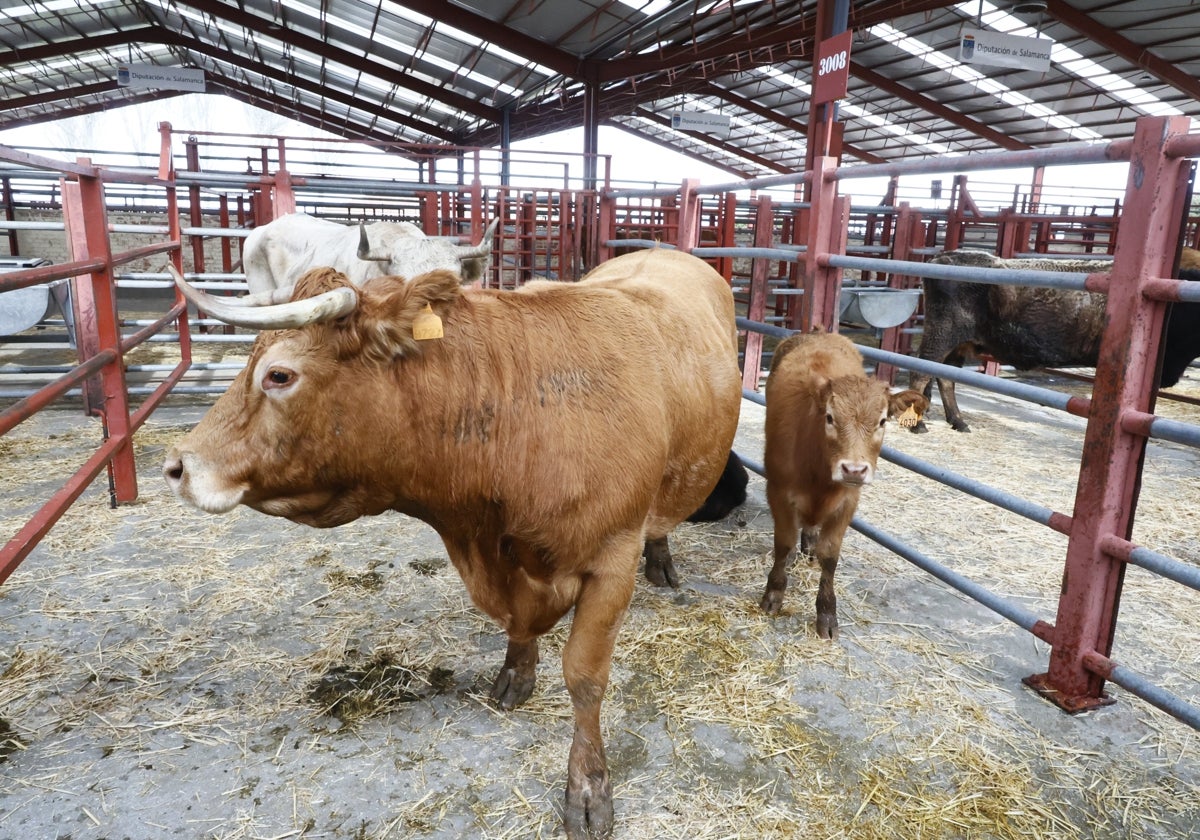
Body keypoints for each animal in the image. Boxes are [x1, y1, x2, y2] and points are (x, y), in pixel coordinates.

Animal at [159, 249, 739, 840]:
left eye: (278, 374)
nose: (177, 466)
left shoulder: (611, 561)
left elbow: (585, 678)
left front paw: (588, 788)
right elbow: (519, 630)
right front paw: (515, 676)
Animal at [758, 331, 926, 638]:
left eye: (882, 421)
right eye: (829, 417)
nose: (854, 469)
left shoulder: (848, 502)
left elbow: (830, 556)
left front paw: (826, 613)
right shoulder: (778, 491)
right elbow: (783, 543)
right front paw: (774, 593)